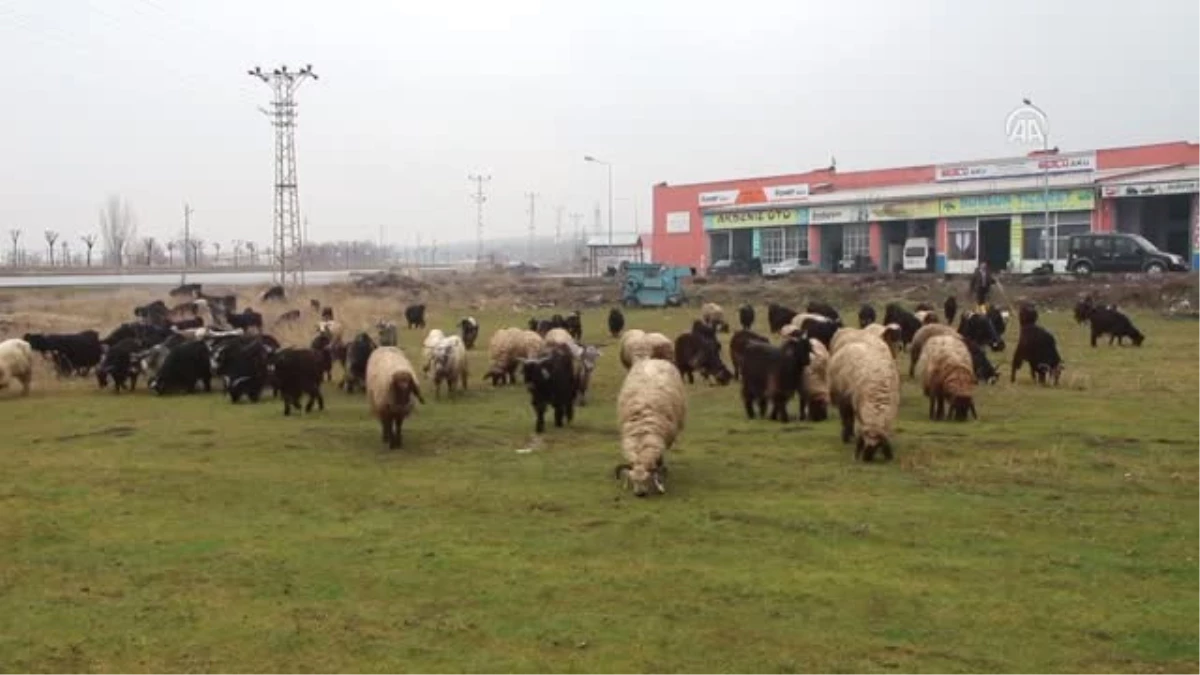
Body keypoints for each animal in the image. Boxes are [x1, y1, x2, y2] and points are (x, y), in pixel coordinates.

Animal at [614, 357, 691, 494]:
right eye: (633, 480)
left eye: (646, 479)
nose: (640, 494)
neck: (641, 433)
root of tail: (654, 359)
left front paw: (659, 484)